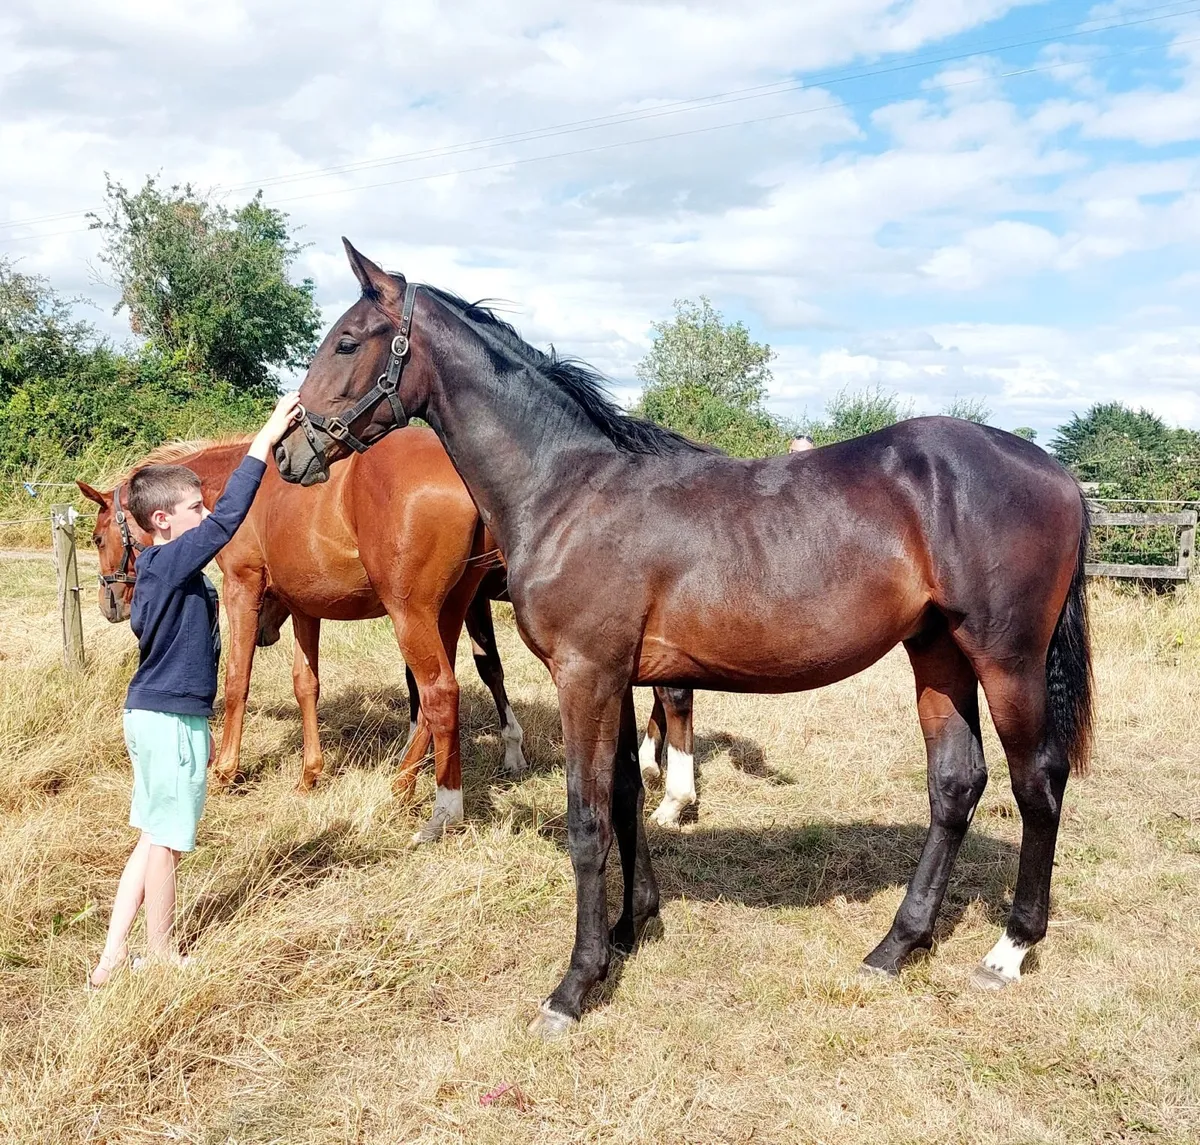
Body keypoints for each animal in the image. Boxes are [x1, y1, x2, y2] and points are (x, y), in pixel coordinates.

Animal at [79, 428, 529, 844]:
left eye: (98, 538)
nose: (110, 603)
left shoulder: (242, 587)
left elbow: (237, 677)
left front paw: (225, 769)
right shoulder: (304, 607)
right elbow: (305, 684)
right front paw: (310, 774)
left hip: (413, 614)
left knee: (439, 692)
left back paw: (421, 792)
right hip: (452, 608)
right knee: (437, 694)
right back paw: (405, 780)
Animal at [276, 241, 1093, 1038]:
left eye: (346, 340)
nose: (290, 453)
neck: (567, 490)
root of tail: (1057, 472)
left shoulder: (585, 674)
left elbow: (587, 819)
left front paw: (574, 985)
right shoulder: (616, 677)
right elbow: (627, 795)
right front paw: (629, 931)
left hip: (1006, 659)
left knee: (1037, 782)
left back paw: (1009, 948)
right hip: (938, 653)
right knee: (956, 783)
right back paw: (897, 945)